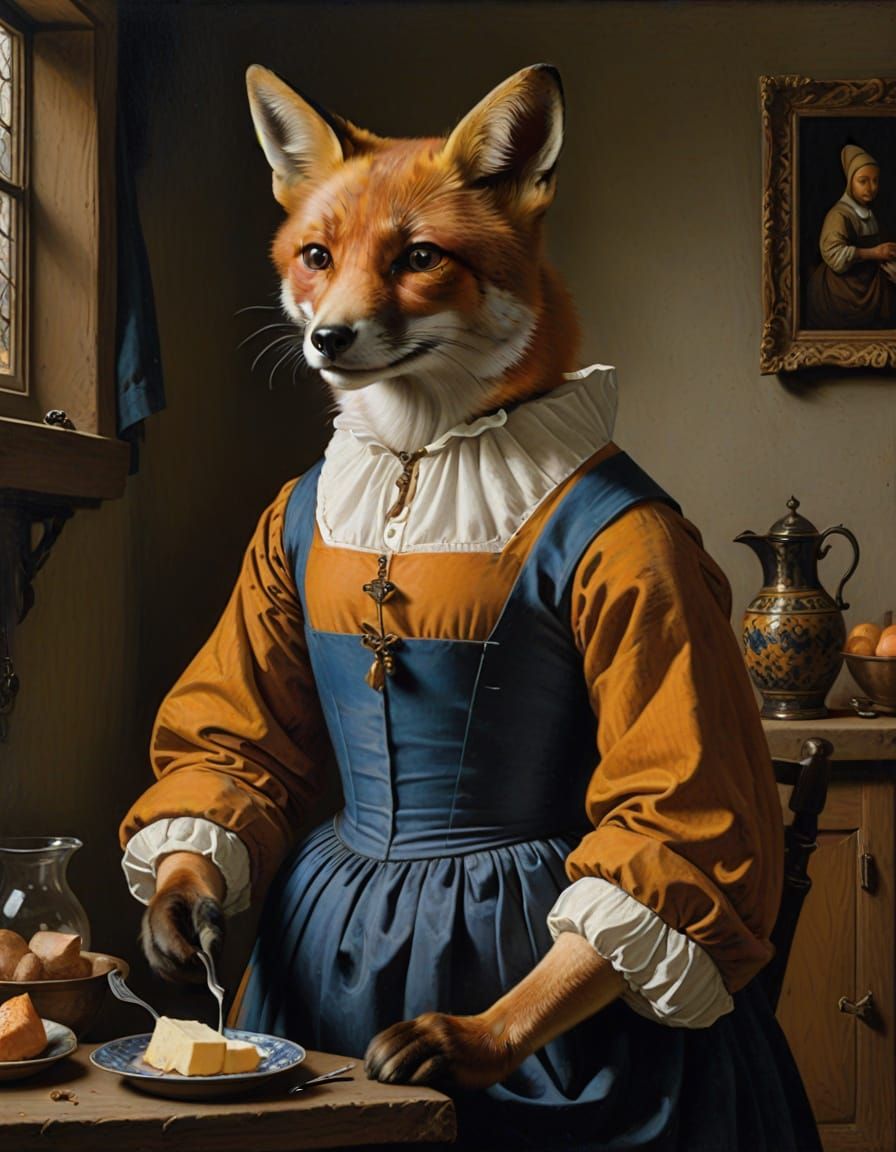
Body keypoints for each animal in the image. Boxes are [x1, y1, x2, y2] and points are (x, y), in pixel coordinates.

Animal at [132, 63, 819, 1151]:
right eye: (316, 257)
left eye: (419, 258)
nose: (328, 336)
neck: (422, 463)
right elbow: (229, 752)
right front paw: (181, 907)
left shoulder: (654, 569)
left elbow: (663, 831)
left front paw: (476, 1038)